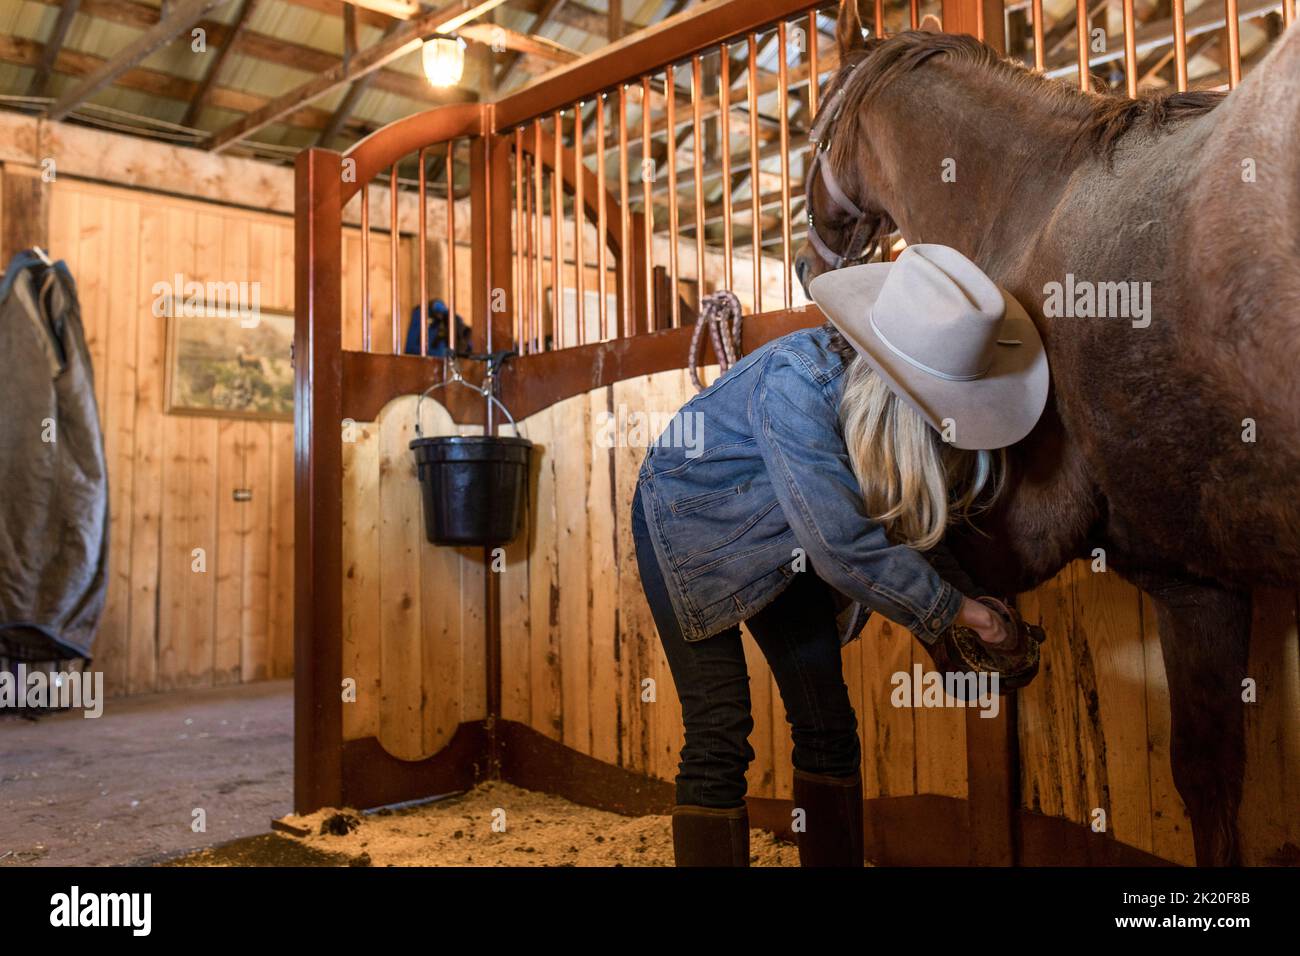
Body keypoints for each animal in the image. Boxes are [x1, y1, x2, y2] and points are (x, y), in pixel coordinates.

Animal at [794, 2, 1300, 866]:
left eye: (815, 122)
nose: (802, 263)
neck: (1028, 204)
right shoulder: (1200, 582)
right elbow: (1211, 783)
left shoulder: (1039, 532)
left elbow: (924, 557)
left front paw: (973, 645)